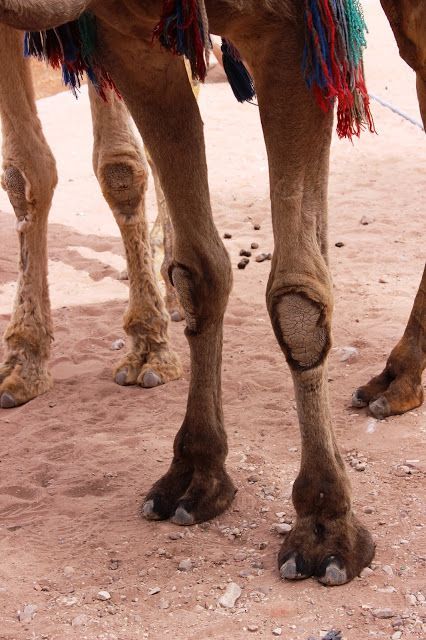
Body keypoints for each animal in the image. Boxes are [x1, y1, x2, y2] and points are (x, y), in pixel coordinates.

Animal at [0, 0, 423, 588]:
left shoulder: (292, 30)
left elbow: (297, 298)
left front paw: (324, 525)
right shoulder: (126, 35)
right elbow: (199, 270)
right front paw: (195, 473)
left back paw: (397, 381)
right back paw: (397, 380)